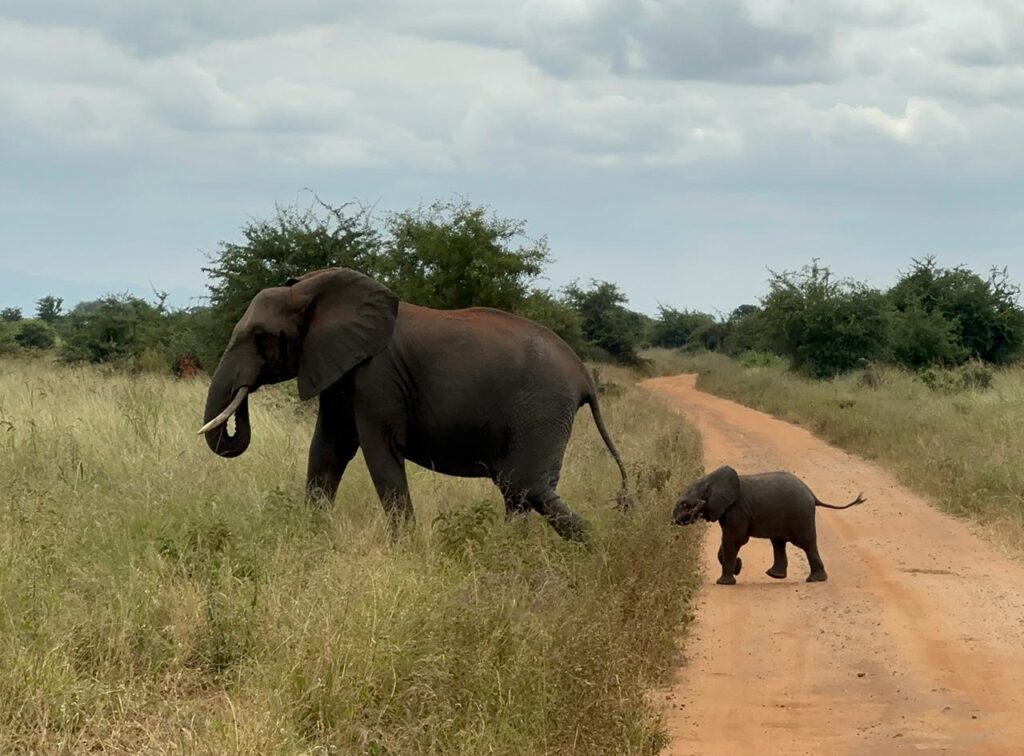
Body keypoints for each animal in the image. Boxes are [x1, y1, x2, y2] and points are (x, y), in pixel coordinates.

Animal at [199, 267, 632, 541]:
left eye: (259, 337)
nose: (236, 414)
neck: (311, 290)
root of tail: (585, 379)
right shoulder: (340, 371)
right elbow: (328, 449)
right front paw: (311, 536)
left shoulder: (376, 377)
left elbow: (378, 451)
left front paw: (403, 549)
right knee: (520, 494)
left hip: (542, 410)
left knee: (527, 488)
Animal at [671, 465, 865, 584]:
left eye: (686, 505)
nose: (674, 522)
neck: (710, 480)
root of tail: (812, 494)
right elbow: (730, 541)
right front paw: (737, 567)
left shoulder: (737, 510)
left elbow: (734, 540)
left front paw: (725, 582)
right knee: (778, 542)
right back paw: (775, 575)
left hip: (800, 514)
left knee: (806, 544)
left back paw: (814, 580)